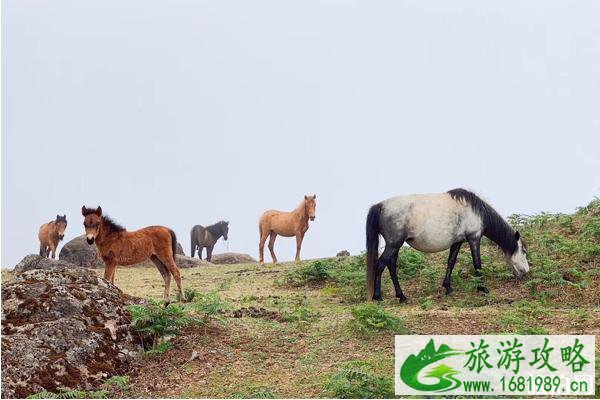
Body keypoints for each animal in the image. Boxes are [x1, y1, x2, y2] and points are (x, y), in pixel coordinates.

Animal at [366, 189, 528, 302]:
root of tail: (381, 205)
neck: (475, 211)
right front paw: (482, 288)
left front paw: (448, 287)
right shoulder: (474, 238)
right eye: (524, 251)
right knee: (380, 265)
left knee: (391, 266)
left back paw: (401, 296)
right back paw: (378, 297)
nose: (526, 272)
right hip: (393, 245)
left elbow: (451, 262)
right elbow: (477, 264)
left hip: (395, 246)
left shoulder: (457, 242)